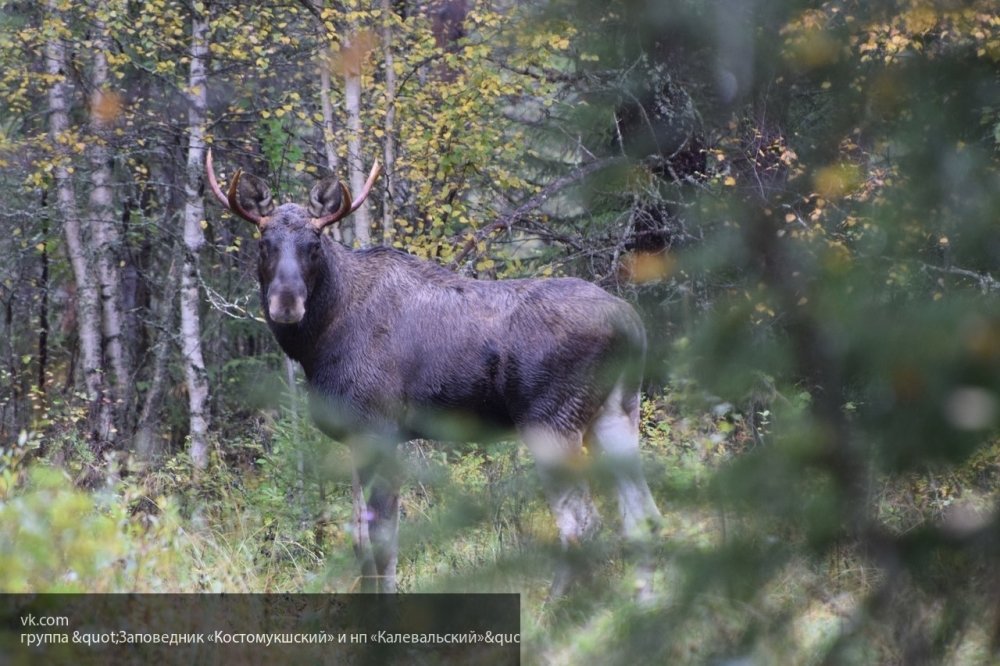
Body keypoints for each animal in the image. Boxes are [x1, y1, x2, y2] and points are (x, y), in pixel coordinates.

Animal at [206, 150, 660, 596]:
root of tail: (632, 323)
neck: (319, 342)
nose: (286, 302)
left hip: (549, 420)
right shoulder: (360, 435)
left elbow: (380, 544)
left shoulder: (378, 428)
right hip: (615, 413)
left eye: (314, 243)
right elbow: (365, 541)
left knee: (582, 524)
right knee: (643, 517)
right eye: (263, 242)